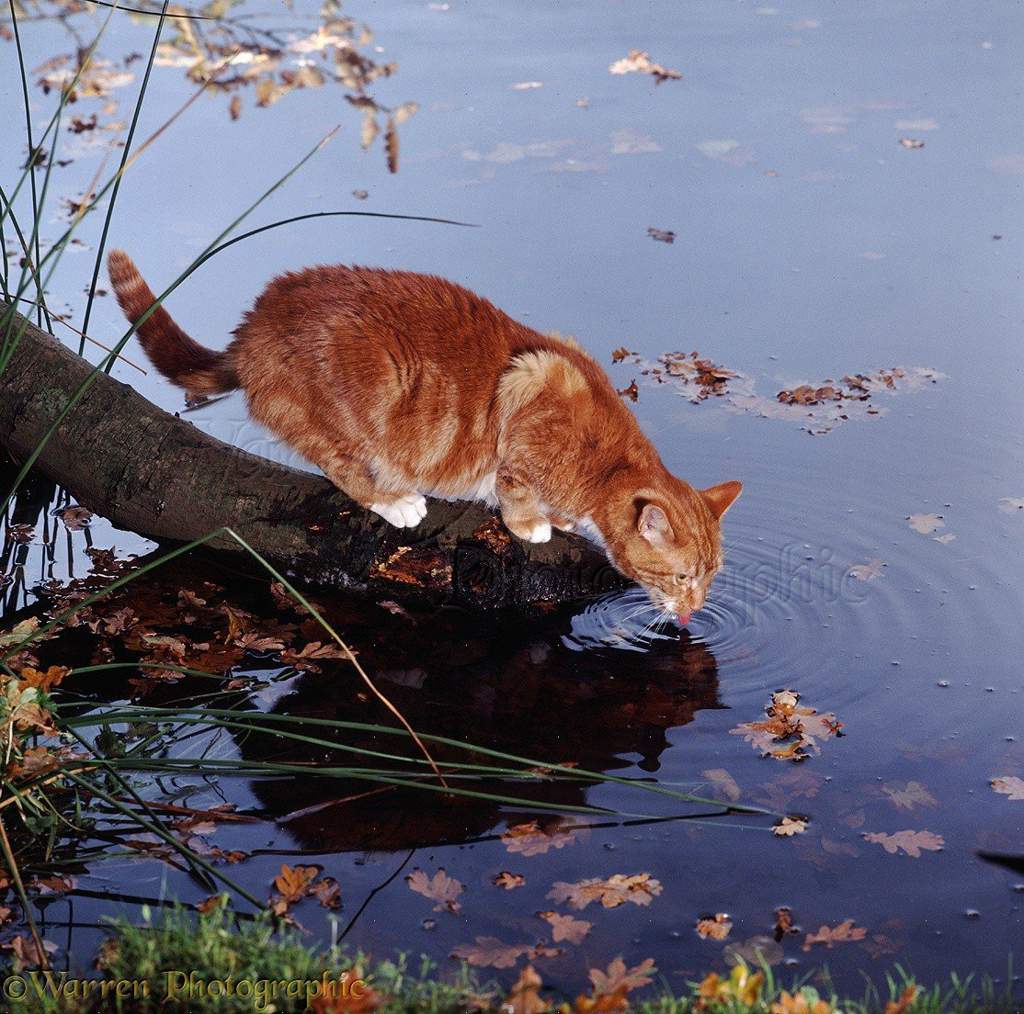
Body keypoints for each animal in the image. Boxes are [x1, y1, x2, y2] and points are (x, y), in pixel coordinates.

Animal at [108, 251, 741, 618]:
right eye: (682, 577)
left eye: (710, 578)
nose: (692, 613)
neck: (606, 465)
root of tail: (254, 326)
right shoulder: (528, 391)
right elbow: (513, 484)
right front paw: (532, 521)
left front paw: (557, 517)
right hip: (361, 401)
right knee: (339, 463)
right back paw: (393, 499)